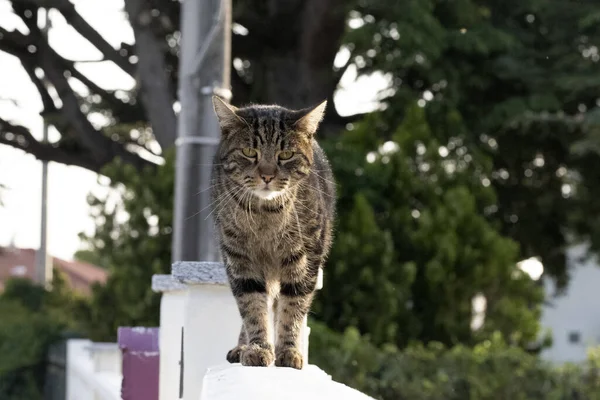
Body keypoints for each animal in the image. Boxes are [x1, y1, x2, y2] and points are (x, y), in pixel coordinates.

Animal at [211, 96, 336, 368]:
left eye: (286, 155)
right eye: (249, 152)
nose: (267, 176)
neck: (265, 215)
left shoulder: (304, 260)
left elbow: (293, 308)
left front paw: (288, 350)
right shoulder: (239, 260)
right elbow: (252, 308)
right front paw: (258, 348)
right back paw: (242, 347)